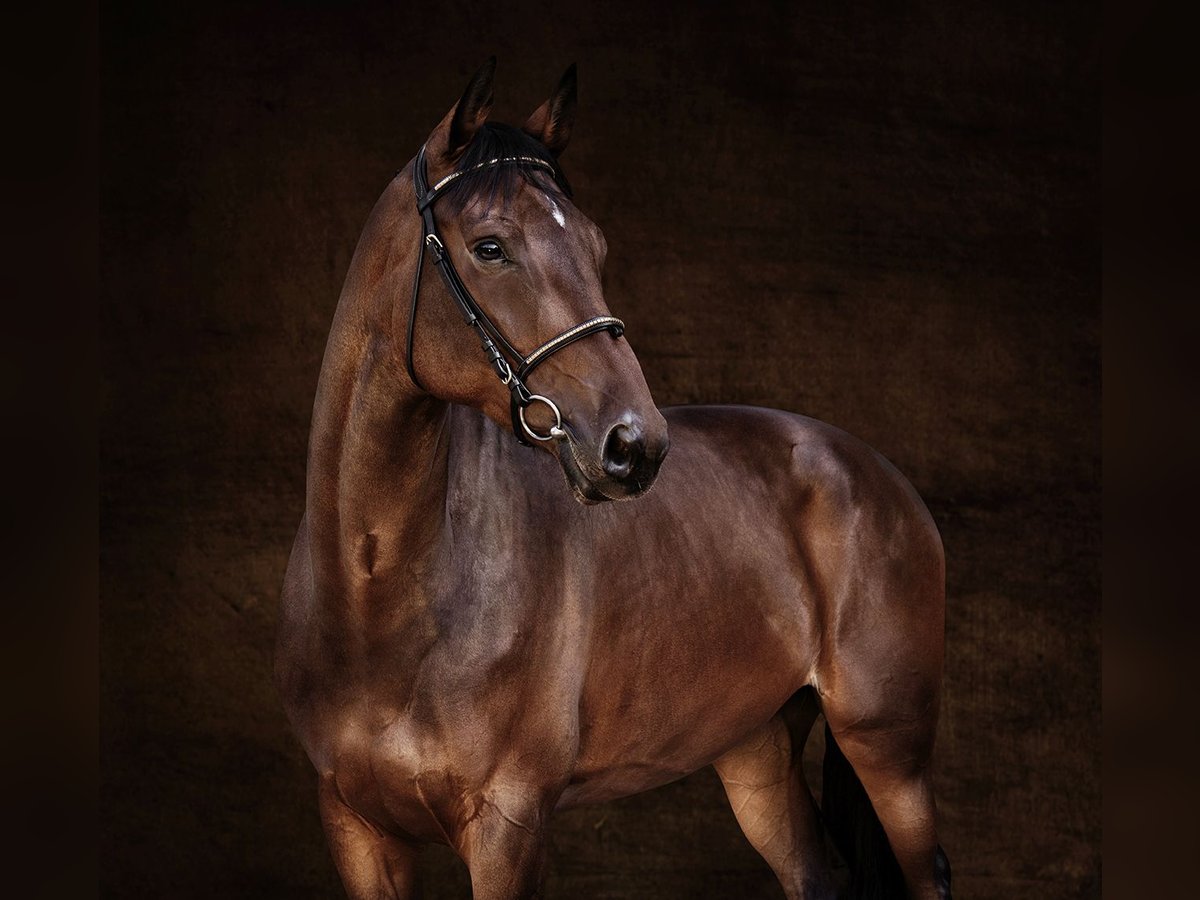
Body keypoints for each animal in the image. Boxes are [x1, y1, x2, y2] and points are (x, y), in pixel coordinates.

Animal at [276, 60, 950, 897]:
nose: (636, 445)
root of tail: (877, 472)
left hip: (889, 748)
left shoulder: (508, 826)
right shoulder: (356, 829)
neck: (379, 595)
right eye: (489, 246)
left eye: (595, 247)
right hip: (756, 751)